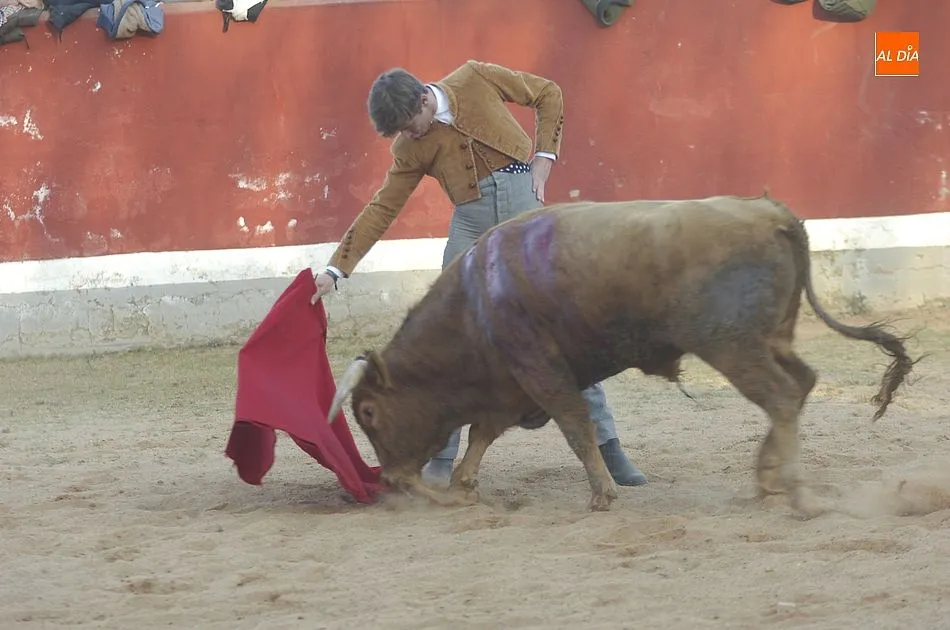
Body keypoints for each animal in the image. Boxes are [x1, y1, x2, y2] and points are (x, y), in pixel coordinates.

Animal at [327, 193, 917, 518]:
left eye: (369, 412)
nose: (391, 480)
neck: (474, 304)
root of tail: (772, 211)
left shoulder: (539, 371)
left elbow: (574, 426)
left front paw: (602, 495)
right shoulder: (510, 386)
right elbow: (481, 434)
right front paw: (464, 487)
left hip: (732, 345)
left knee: (780, 396)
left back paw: (796, 494)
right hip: (772, 338)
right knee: (802, 384)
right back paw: (767, 478)